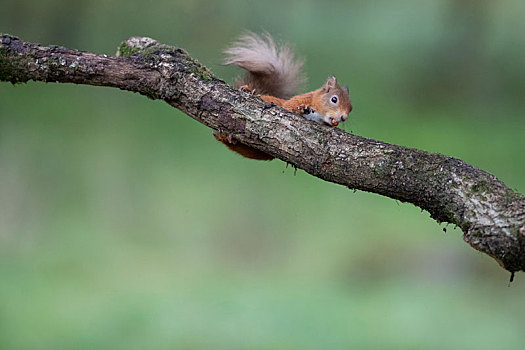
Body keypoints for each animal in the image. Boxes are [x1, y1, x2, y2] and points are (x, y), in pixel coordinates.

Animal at [213, 32, 352, 161]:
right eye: (334, 99)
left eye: (351, 108)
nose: (343, 117)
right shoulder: (298, 100)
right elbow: (288, 107)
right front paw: (303, 109)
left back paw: (226, 137)